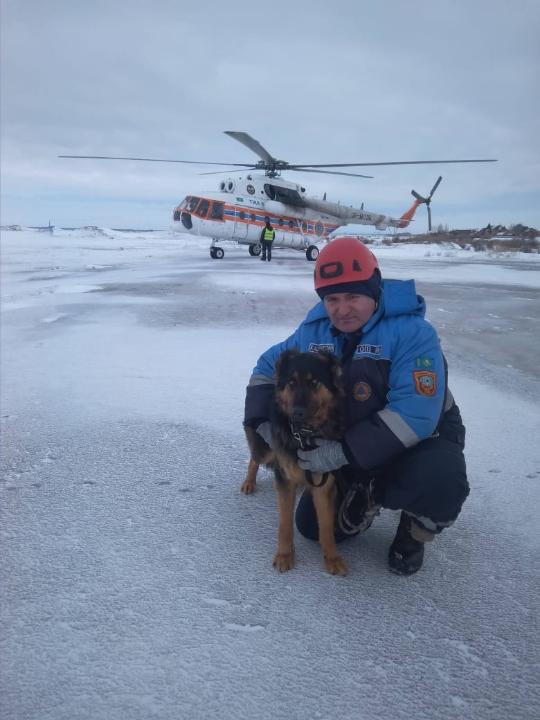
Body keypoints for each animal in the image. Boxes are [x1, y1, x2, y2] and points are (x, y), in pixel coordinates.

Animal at [242, 348, 350, 572]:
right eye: (291, 382)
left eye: (314, 382)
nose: (297, 413)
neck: (304, 435)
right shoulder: (285, 479)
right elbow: (285, 523)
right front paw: (284, 555)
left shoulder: (324, 482)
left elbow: (326, 526)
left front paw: (332, 557)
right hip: (266, 450)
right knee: (254, 458)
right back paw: (249, 482)